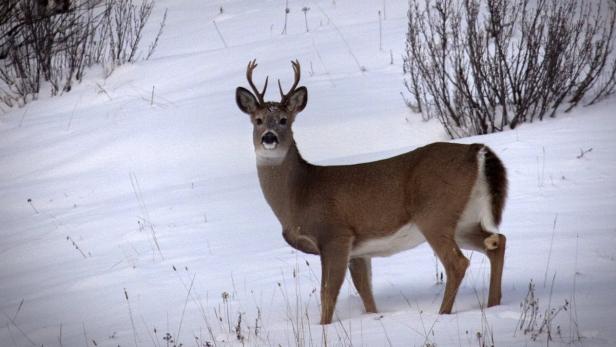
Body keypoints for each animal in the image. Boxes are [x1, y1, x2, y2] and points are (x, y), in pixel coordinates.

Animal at [233, 60, 508, 326]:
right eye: (257, 120)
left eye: (284, 120)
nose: (269, 138)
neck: (299, 194)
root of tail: (477, 151)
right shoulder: (358, 251)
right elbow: (366, 294)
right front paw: (372, 317)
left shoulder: (335, 235)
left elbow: (327, 293)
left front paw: (324, 328)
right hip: (463, 220)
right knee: (498, 242)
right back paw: (494, 305)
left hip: (435, 214)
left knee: (458, 263)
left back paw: (443, 314)